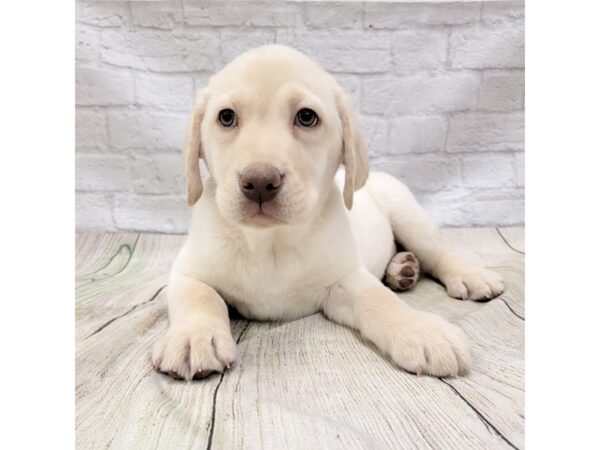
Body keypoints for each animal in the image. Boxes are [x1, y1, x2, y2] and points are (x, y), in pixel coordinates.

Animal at [152, 44, 504, 380]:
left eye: (307, 117)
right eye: (226, 117)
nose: (260, 182)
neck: (271, 243)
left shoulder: (345, 279)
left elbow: (380, 301)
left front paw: (421, 331)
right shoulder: (187, 272)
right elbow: (200, 297)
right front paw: (194, 338)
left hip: (407, 212)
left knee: (438, 252)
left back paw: (466, 275)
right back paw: (402, 269)